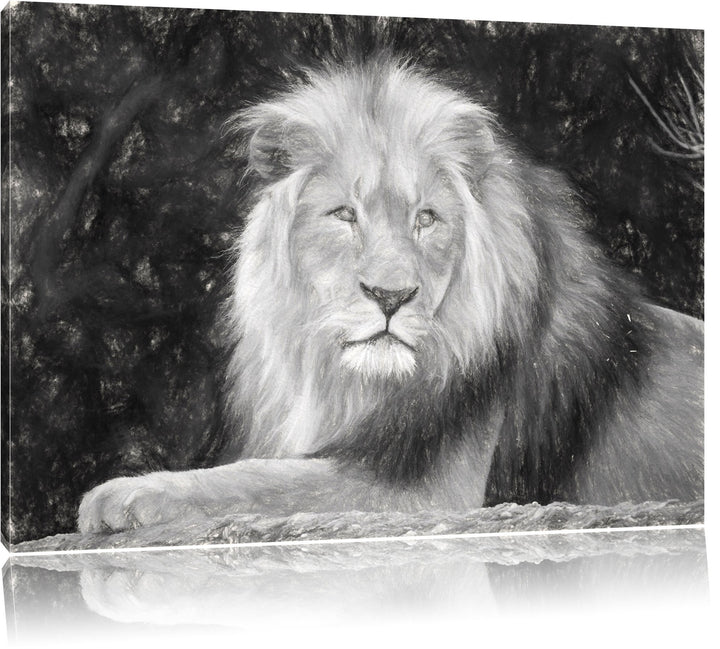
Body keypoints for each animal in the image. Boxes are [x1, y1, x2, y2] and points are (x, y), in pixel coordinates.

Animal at [78, 57, 703, 534]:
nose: (390, 296)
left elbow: (259, 477)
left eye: (426, 218)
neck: (348, 383)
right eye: (343, 215)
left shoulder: (427, 493)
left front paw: (124, 493)